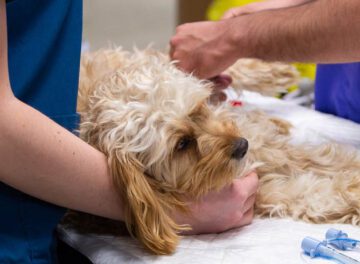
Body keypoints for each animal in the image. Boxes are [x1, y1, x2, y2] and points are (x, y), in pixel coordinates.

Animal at [74, 48, 360, 255]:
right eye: (182, 144)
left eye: (198, 110)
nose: (242, 145)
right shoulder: (262, 190)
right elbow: (314, 194)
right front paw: (352, 191)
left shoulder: (265, 146)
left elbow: (320, 161)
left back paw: (273, 73)